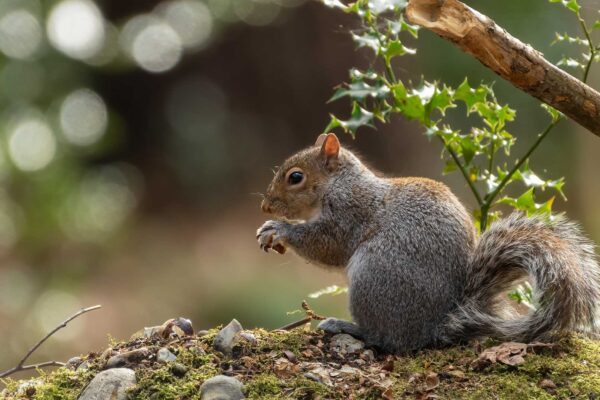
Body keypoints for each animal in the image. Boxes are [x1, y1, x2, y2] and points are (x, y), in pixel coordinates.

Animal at [256, 133, 600, 352]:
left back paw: (345, 326)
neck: (339, 183)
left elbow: (328, 244)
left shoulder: (350, 213)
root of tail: (435, 326)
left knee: (387, 340)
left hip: (374, 276)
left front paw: (279, 229)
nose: (266, 206)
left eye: (295, 177)